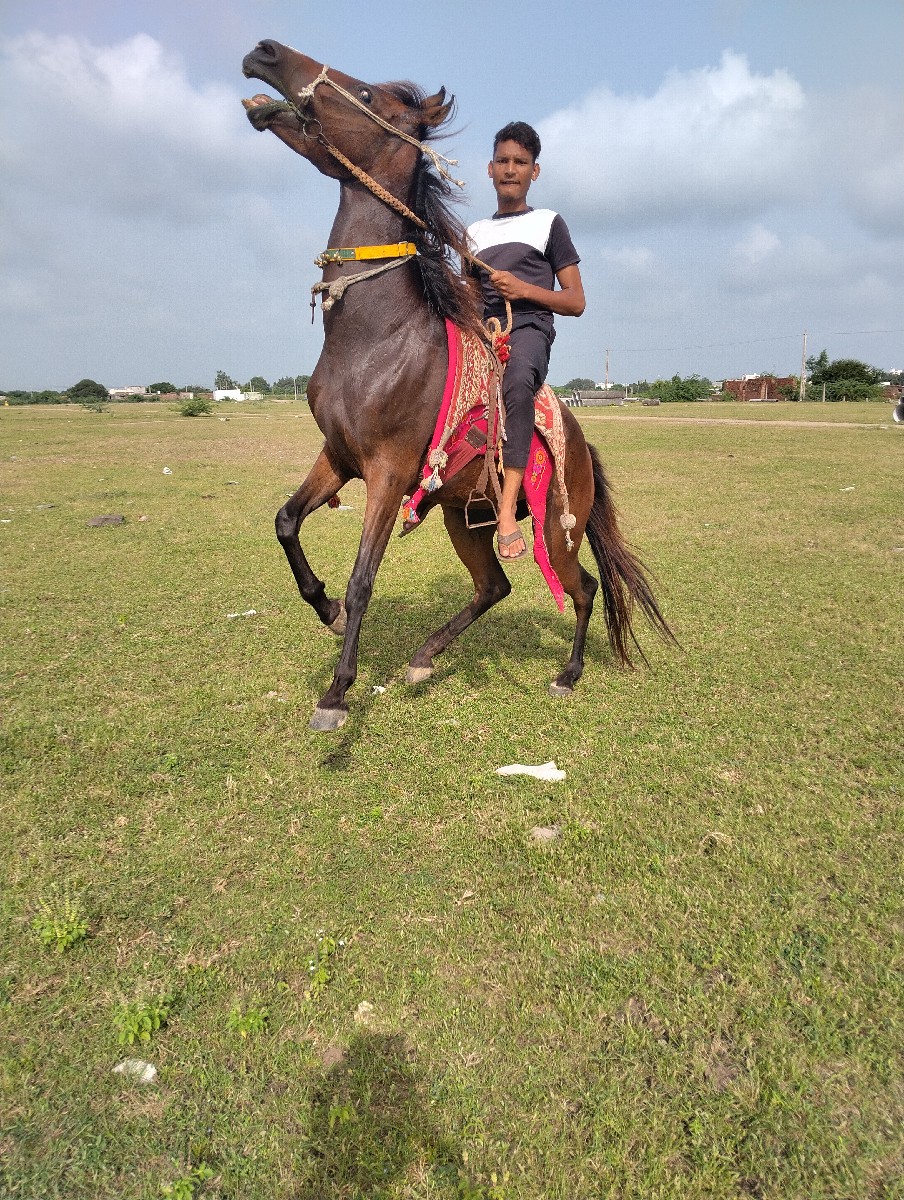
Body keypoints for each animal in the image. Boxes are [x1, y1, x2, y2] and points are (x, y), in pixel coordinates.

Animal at [241, 40, 674, 731]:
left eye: (366, 94)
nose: (265, 52)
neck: (376, 336)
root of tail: (581, 443)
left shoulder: (388, 471)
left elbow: (363, 578)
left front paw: (337, 693)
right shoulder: (339, 457)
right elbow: (286, 523)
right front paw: (325, 609)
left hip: (558, 527)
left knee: (581, 588)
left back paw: (568, 673)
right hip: (460, 516)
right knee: (494, 585)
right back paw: (424, 659)